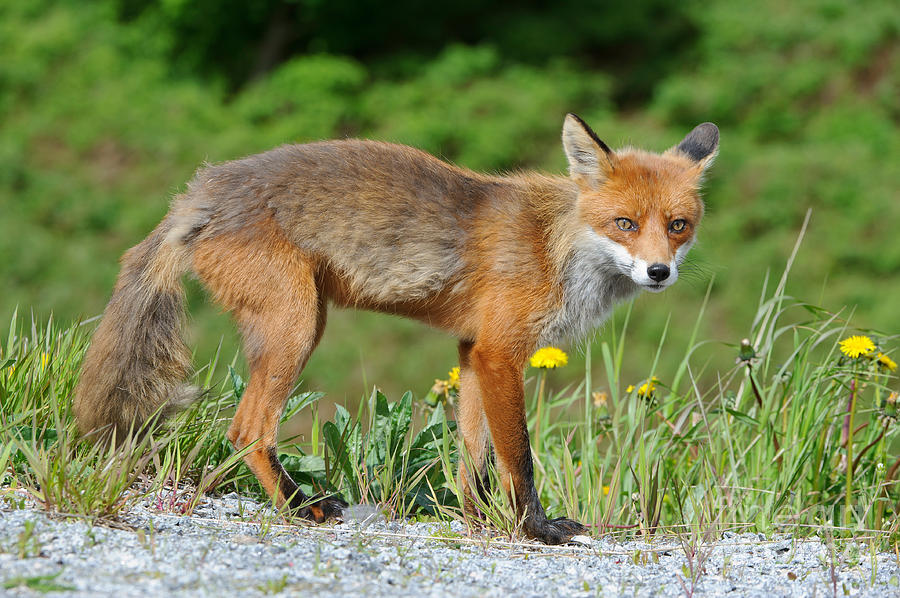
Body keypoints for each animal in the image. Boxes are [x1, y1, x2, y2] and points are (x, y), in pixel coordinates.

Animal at [72, 115, 716, 548]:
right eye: (625, 223)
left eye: (678, 226)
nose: (659, 272)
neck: (555, 248)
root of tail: (199, 192)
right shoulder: (501, 353)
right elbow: (519, 459)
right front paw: (536, 528)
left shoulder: (472, 352)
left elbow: (474, 459)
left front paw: (476, 522)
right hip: (297, 327)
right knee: (247, 431)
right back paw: (300, 508)